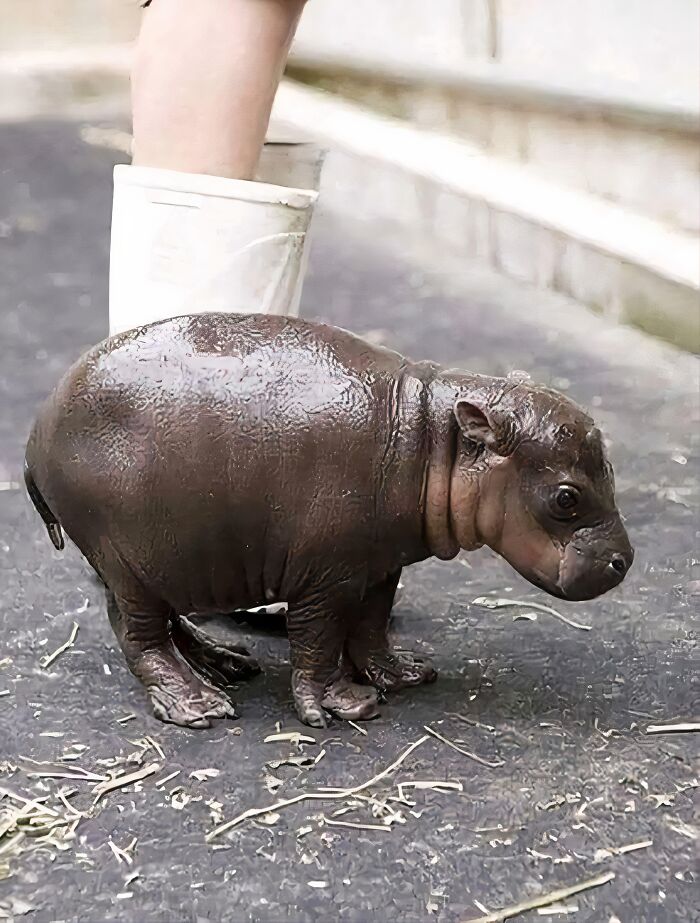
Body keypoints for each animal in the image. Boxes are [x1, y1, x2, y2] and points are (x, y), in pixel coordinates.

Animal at [25, 313, 633, 728]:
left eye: (610, 467)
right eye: (566, 497)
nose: (624, 560)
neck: (431, 437)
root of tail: (34, 435)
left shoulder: (380, 564)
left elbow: (370, 626)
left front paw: (405, 675)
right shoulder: (324, 575)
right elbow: (316, 639)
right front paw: (337, 707)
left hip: (168, 556)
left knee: (170, 623)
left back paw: (227, 664)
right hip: (128, 559)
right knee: (139, 635)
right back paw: (200, 706)